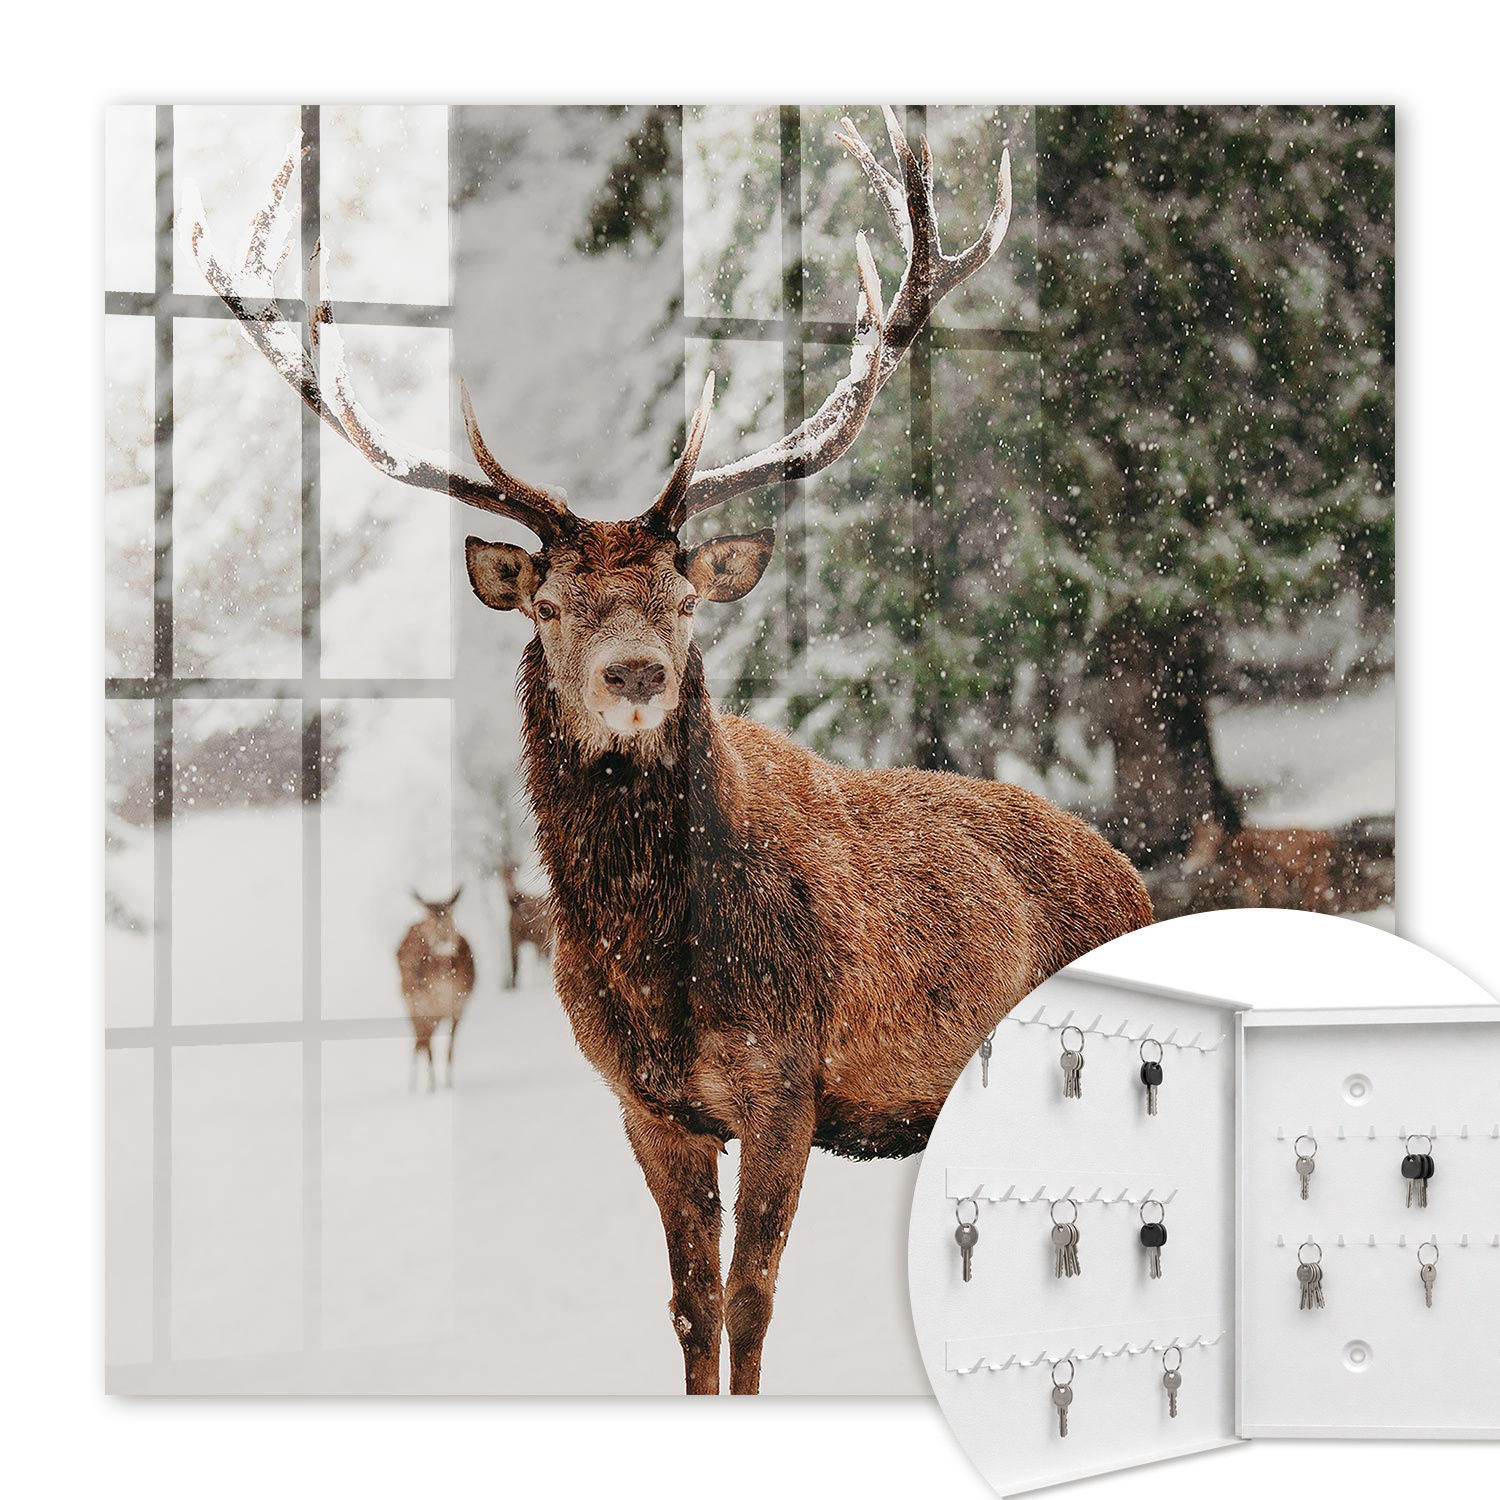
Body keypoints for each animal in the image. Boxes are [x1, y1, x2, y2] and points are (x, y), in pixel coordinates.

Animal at [396, 889, 476, 1091]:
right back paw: (415, 1087)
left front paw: (448, 1084)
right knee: (420, 1042)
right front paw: (432, 1088)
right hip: (410, 1003)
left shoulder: (459, 1008)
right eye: (430, 919)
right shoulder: (424, 1008)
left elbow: (449, 1049)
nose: (443, 940)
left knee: (422, 1042)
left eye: (451, 916)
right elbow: (428, 1046)